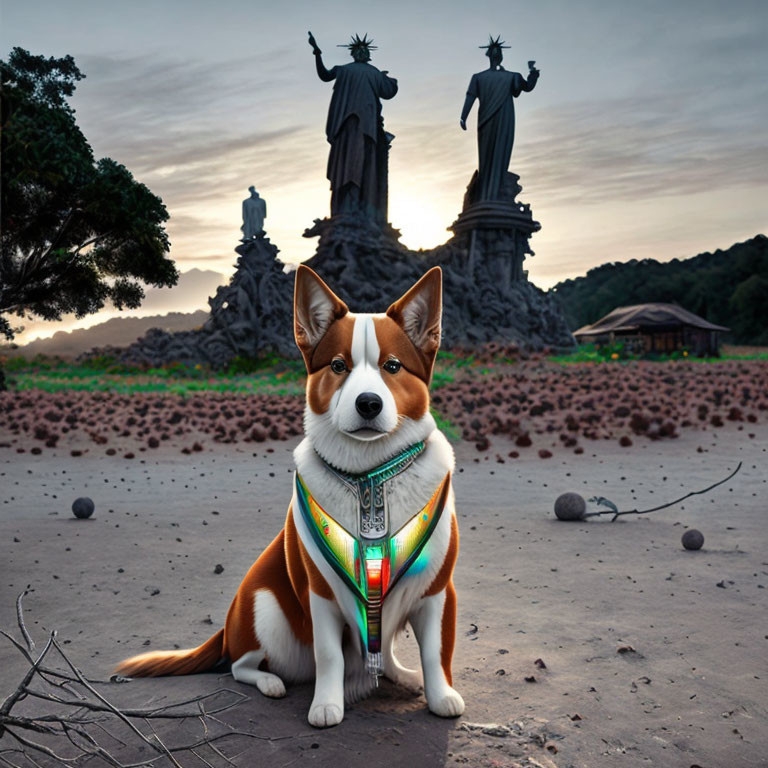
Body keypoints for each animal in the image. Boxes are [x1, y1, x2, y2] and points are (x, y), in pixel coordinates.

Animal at [114, 264, 462, 728]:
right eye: (338, 365)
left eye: (392, 366)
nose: (368, 403)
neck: (369, 477)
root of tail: (228, 627)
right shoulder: (320, 593)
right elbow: (330, 655)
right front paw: (327, 704)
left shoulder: (438, 591)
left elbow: (436, 651)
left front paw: (439, 694)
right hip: (265, 610)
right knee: (241, 665)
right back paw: (269, 682)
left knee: (384, 651)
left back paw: (399, 673)